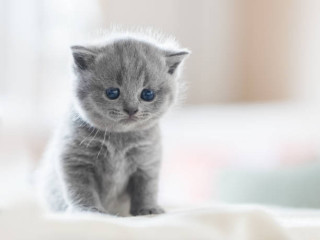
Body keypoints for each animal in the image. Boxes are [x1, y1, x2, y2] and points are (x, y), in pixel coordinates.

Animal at [39, 31, 191, 217]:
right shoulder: (75, 160)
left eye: (148, 94)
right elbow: (81, 189)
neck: (119, 140)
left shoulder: (147, 161)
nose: (131, 109)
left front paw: (148, 209)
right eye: (112, 93)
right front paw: (88, 210)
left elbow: (147, 188)